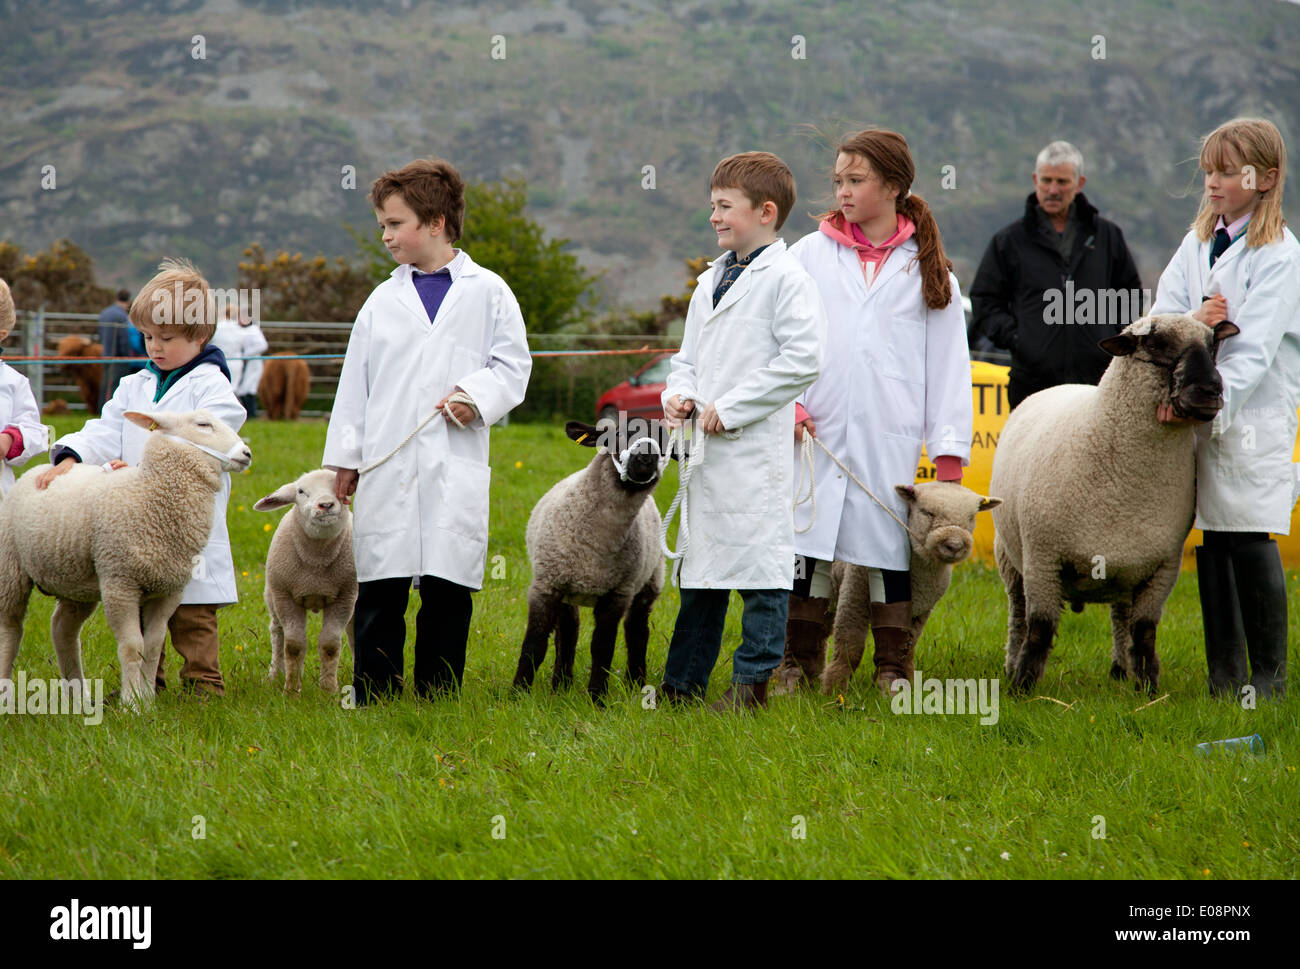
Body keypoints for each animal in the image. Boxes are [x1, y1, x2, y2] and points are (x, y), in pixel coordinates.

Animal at [0, 403, 252, 707]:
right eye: (203, 424)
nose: (246, 454)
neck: (148, 495)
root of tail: (38, 468)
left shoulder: (169, 590)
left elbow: (152, 646)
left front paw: (148, 700)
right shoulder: (120, 583)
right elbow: (133, 646)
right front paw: (131, 703)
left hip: (75, 580)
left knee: (63, 629)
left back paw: (79, 697)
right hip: (11, 567)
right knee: (9, 629)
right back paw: (5, 694)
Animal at [253, 465, 358, 686]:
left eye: (339, 489)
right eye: (301, 491)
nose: (326, 504)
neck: (315, 563)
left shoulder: (345, 597)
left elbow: (330, 646)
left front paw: (328, 688)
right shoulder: (285, 598)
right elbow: (294, 646)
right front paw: (291, 688)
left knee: (353, 633)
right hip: (272, 597)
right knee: (277, 633)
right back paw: (276, 675)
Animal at [512, 418, 665, 697]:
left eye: (665, 438)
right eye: (620, 433)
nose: (646, 458)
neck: (598, 541)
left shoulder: (617, 594)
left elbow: (603, 648)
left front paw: (597, 697)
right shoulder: (546, 585)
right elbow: (534, 644)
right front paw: (517, 693)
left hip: (650, 580)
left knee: (637, 631)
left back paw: (635, 684)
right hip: (566, 587)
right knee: (568, 631)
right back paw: (561, 685)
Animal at [987, 316, 1232, 697]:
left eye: (1212, 345)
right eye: (1156, 344)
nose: (1210, 390)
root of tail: (1062, 384)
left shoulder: (1163, 568)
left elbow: (1144, 632)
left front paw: (1148, 688)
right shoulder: (1042, 559)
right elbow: (1039, 628)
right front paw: (1022, 688)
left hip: (1125, 567)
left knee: (1120, 618)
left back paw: (1121, 670)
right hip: (1010, 558)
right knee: (1017, 615)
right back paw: (1011, 664)